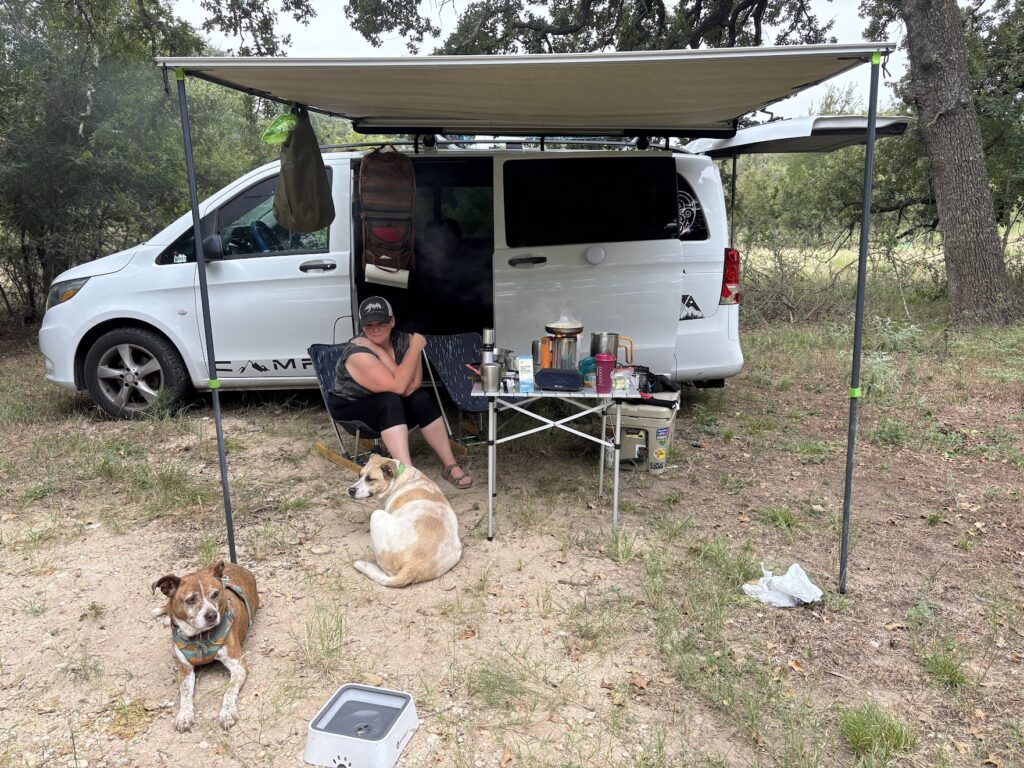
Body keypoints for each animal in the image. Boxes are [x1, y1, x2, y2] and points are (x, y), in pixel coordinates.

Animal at [151, 560, 260, 732]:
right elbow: (185, 694)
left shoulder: (238, 666)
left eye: (215, 594)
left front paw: (227, 712)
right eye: (191, 599)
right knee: (168, 609)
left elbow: (229, 691)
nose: (212, 615)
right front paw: (184, 715)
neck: (200, 637)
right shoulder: (185, 670)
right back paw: (167, 618)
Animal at [348, 455, 463, 587]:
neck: (399, 478)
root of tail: (412, 566)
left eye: (370, 479)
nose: (350, 490)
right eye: (359, 475)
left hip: (377, 516)